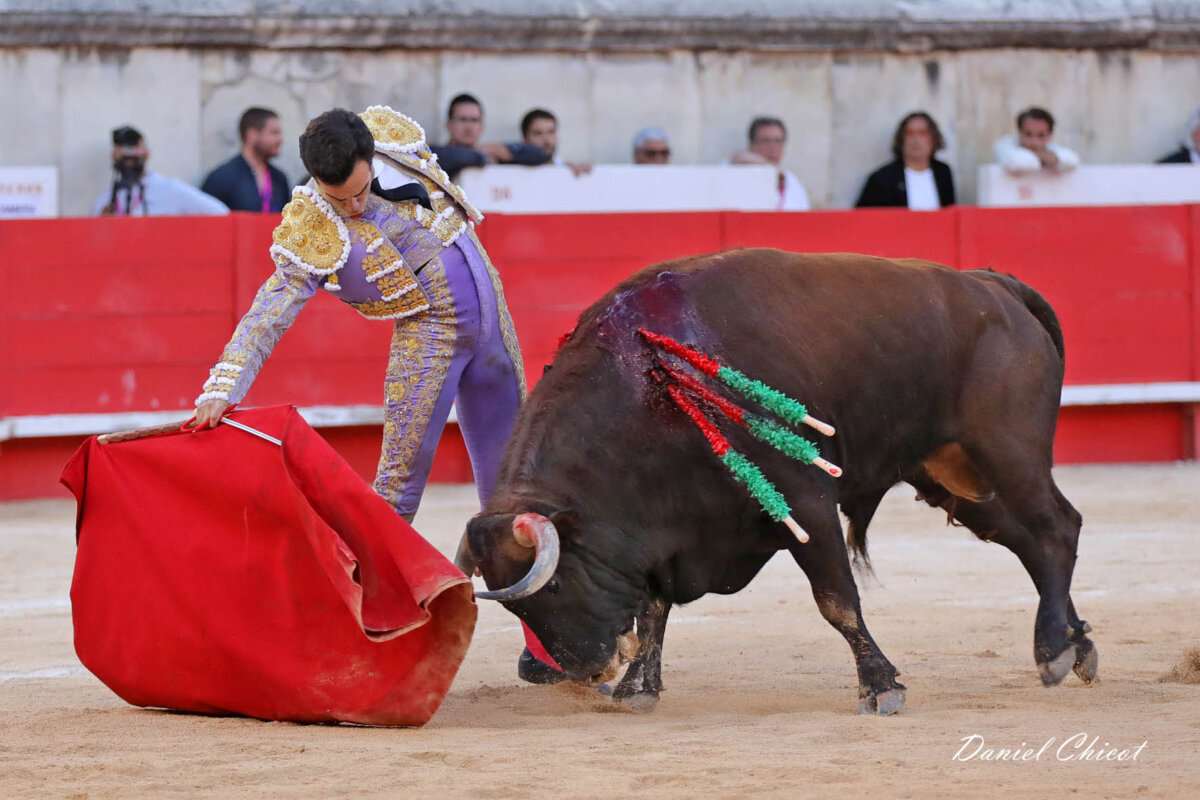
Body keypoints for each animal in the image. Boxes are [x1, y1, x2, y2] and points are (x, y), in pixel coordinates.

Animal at [457, 249, 1098, 715]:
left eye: (556, 586)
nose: (576, 670)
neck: (647, 390)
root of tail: (993, 285)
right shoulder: (665, 534)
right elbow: (654, 610)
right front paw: (639, 689)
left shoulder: (805, 500)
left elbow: (837, 600)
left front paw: (880, 686)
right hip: (956, 479)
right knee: (1031, 543)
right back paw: (1075, 646)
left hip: (1008, 451)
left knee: (1057, 528)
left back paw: (1052, 650)